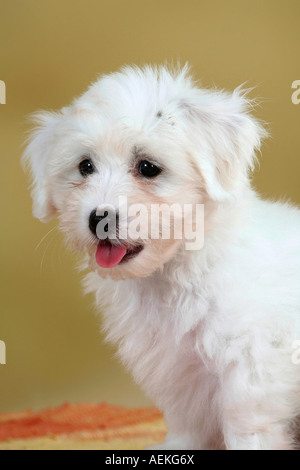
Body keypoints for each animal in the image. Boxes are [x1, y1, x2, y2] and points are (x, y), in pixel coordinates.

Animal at [23, 64, 300, 450]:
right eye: (85, 166)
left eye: (148, 167)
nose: (98, 218)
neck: (178, 268)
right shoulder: (177, 365)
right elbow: (187, 416)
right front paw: (178, 447)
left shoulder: (253, 361)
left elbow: (246, 420)